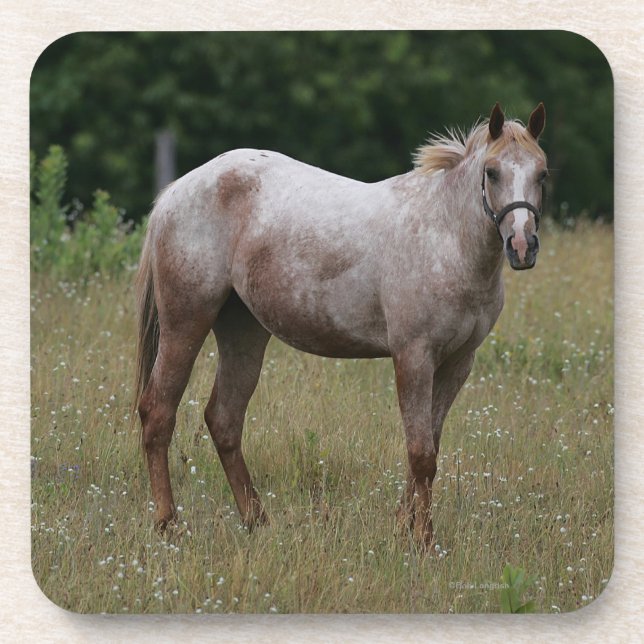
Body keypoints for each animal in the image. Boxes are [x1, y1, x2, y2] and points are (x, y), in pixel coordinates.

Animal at [134, 102, 547, 548]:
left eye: (542, 173)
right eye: (492, 172)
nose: (522, 246)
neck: (446, 238)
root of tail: (176, 191)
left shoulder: (457, 363)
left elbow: (427, 447)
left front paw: (403, 528)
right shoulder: (414, 357)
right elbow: (421, 454)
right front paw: (422, 540)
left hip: (243, 332)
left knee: (224, 420)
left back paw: (257, 521)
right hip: (185, 323)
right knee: (158, 412)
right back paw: (167, 523)